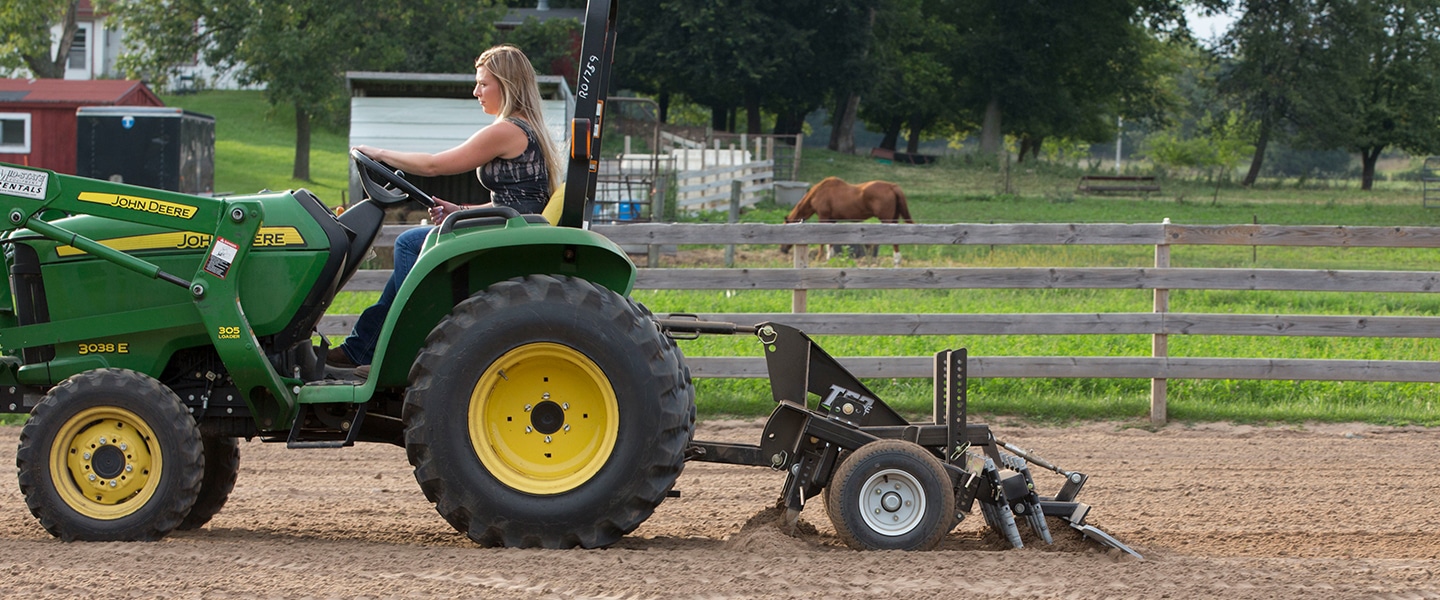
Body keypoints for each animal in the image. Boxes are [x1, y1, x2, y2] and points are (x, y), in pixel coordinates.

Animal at [783, 175, 915, 264]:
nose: (782, 250)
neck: (819, 193)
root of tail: (892, 186)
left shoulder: (823, 217)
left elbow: (822, 242)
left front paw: (819, 258)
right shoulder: (832, 220)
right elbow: (830, 243)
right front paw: (829, 258)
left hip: (887, 220)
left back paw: (895, 261)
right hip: (894, 219)